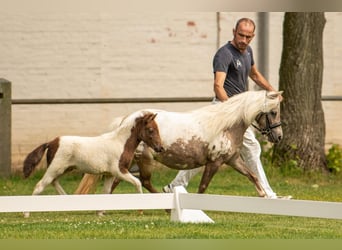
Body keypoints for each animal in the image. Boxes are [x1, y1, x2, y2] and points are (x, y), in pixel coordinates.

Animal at [22, 111, 164, 217]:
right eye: (151, 130)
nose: (160, 148)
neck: (120, 143)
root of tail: (52, 142)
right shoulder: (119, 170)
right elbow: (137, 182)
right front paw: (141, 209)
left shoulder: (110, 174)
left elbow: (106, 191)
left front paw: (100, 213)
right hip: (55, 168)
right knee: (40, 185)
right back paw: (26, 213)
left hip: (64, 169)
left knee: (53, 182)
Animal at [76, 90, 282, 197]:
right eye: (273, 112)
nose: (279, 137)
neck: (226, 126)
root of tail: (125, 121)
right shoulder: (214, 163)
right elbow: (202, 188)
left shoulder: (232, 160)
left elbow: (252, 175)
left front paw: (264, 195)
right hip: (144, 160)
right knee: (142, 181)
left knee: (118, 181)